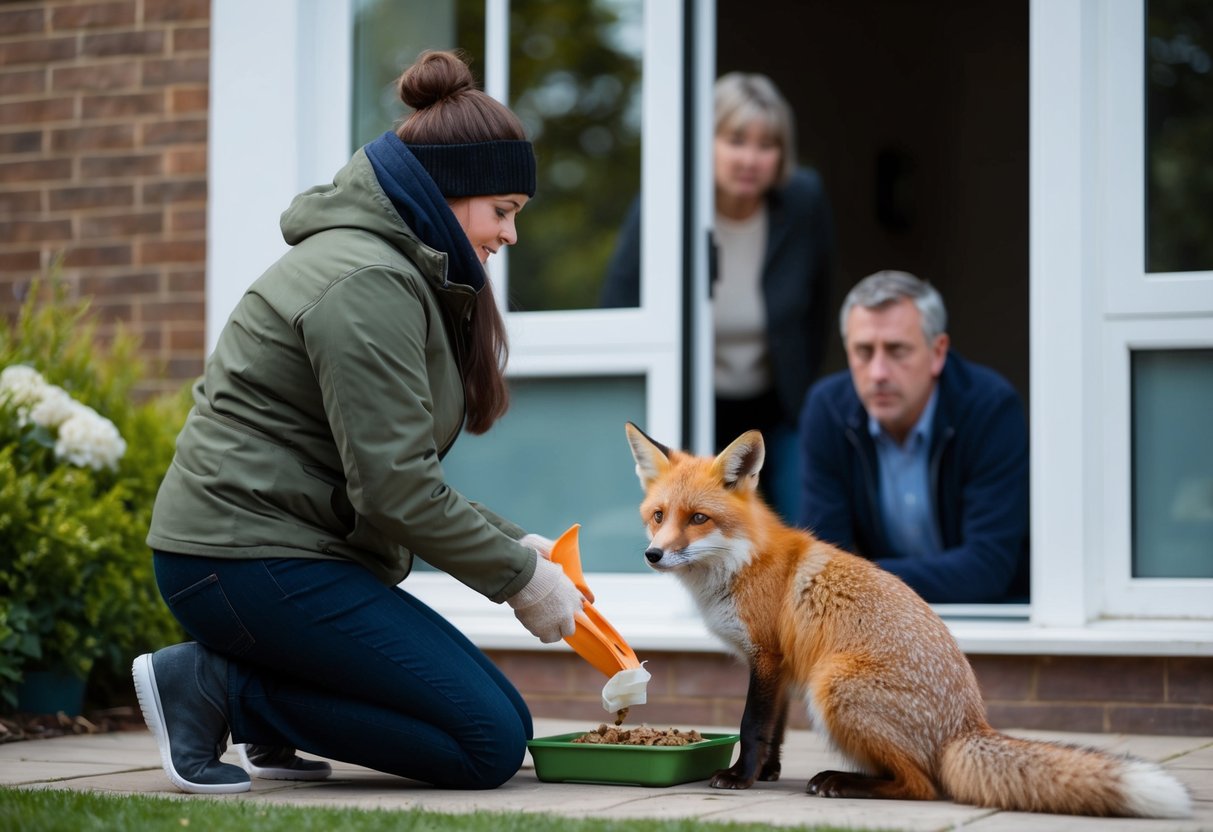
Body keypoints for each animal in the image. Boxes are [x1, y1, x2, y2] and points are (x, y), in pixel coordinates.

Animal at [624, 422, 1192, 818]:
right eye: (659, 516)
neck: (742, 562)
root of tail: (968, 726)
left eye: (699, 518)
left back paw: (840, 782)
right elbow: (774, 731)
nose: (652, 554)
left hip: (832, 684)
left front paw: (739, 778)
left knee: (922, 785)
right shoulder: (779, 666)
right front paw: (765, 774)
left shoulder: (766, 656)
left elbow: (751, 724)